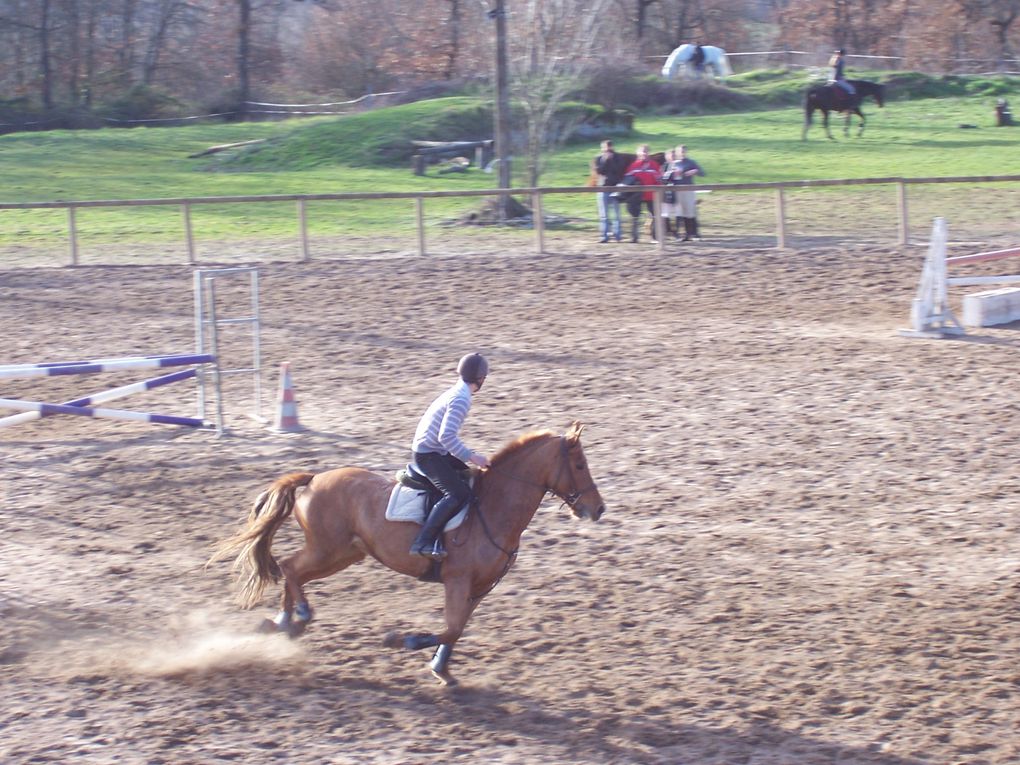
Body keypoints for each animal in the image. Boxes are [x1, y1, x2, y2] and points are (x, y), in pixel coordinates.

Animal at [208, 426, 603, 689]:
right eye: (580, 465)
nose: (599, 509)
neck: (494, 507)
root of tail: (315, 477)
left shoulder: (479, 587)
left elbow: (457, 629)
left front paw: (441, 668)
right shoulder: (457, 581)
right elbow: (451, 627)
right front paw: (404, 641)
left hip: (344, 553)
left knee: (294, 572)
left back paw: (284, 623)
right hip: (327, 548)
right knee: (289, 567)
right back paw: (296, 617)